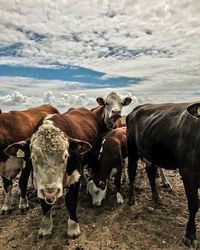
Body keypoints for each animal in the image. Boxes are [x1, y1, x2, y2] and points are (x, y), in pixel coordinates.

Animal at [4, 108, 99, 238]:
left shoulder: (75, 177)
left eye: (65, 156)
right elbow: (45, 205)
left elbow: (71, 201)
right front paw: (46, 227)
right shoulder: (40, 184)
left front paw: (73, 228)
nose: (51, 191)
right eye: (33, 157)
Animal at [126, 101, 200, 248]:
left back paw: (157, 198)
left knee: (150, 173)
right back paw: (132, 198)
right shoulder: (188, 172)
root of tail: (135, 110)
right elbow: (194, 204)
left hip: (151, 154)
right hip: (132, 151)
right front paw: (190, 235)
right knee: (131, 172)